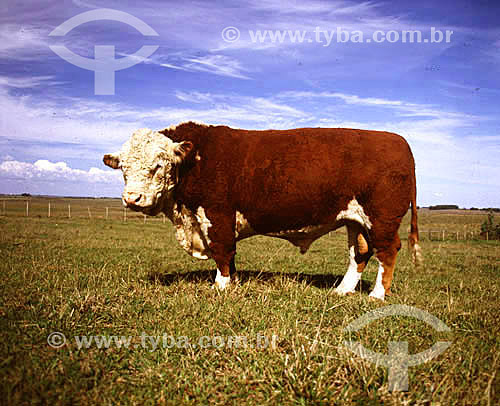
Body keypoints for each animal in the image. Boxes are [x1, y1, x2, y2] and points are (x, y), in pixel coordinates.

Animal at [102, 122, 422, 300]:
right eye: (124, 169)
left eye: (159, 165)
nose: (132, 199)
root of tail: (398, 141)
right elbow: (230, 255)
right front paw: (232, 281)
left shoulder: (217, 214)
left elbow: (222, 251)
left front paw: (220, 286)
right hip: (355, 219)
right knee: (360, 252)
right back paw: (342, 290)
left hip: (382, 217)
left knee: (388, 250)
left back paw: (378, 295)